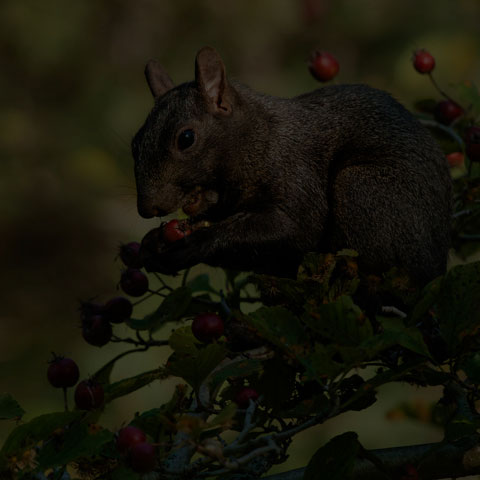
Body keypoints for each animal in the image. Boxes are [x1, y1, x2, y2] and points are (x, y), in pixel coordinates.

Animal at [133, 47, 452, 284]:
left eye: (186, 138)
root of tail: (436, 267)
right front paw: (154, 243)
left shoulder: (297, 172)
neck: (259, 141)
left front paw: (194, 244)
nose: (147, 208)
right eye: (135, 141)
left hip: (365, 190)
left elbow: (295, 227)